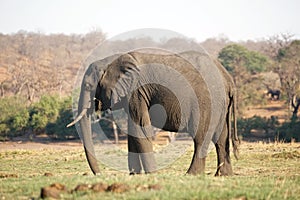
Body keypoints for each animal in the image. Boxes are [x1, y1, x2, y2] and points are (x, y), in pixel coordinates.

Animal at [67, 49, 238, 176]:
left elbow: (140, 129)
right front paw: (135, 175)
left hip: (207, 101)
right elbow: (133, 131)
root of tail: (229, 80)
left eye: (88, 86)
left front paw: (151, 174)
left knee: (201, 136)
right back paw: (223, 175)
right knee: (221, 138)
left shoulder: (136, 91)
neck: (111, 60)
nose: (100, 174)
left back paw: (191, 175)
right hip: (220, 104)